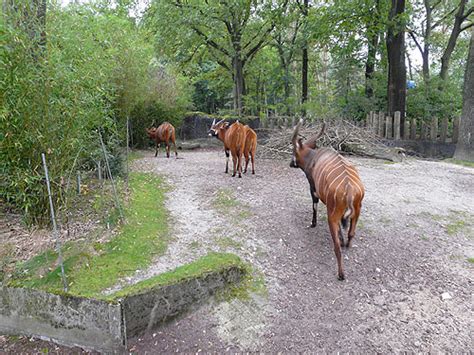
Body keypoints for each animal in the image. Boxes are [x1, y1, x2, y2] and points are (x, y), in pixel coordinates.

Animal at [288, 122, 366, 280]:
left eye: (293, 150)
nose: (290, 163)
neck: (313, 158)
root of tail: (350, 191)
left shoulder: (313, 188)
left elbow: (314, 205)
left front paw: (313, 224)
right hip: (356, 211)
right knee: (350, 234)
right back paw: (346, 245)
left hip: (332, 215)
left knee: (336, 247)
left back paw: (341, 275)